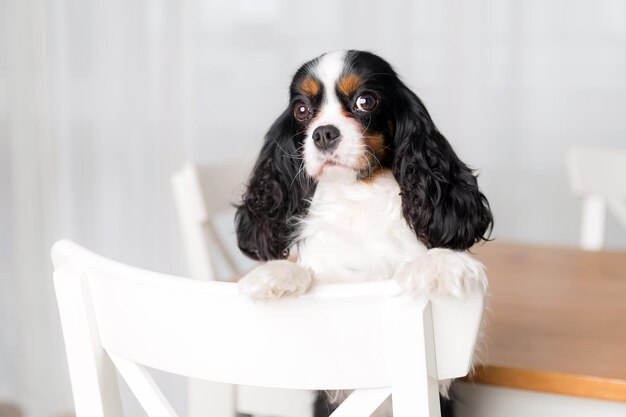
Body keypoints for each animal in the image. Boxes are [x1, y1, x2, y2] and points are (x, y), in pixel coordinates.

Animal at [232, 50, 490, 414]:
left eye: (365, 101)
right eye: (301, 110)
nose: (323, 133)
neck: (358, 194)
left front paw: (441, 264)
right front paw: (278, 274)